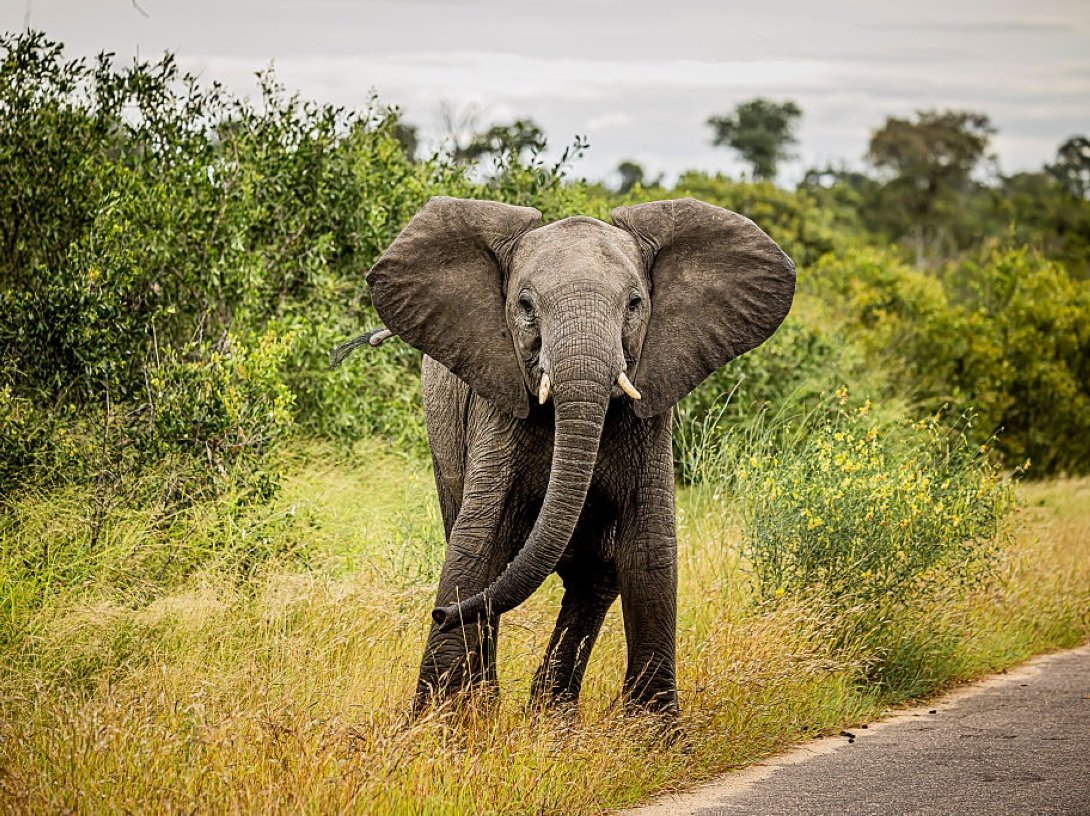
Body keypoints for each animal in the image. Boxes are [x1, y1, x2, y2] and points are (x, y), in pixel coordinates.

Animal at [334, 196, 795, 716]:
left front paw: (655, 732)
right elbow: (477, 544)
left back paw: (551, 715)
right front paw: (438, 722)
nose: (439, 612)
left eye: (635, 304)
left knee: (596, 575)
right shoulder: (498, 404)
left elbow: (649, 548)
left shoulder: (652, 410)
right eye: (525, 305)